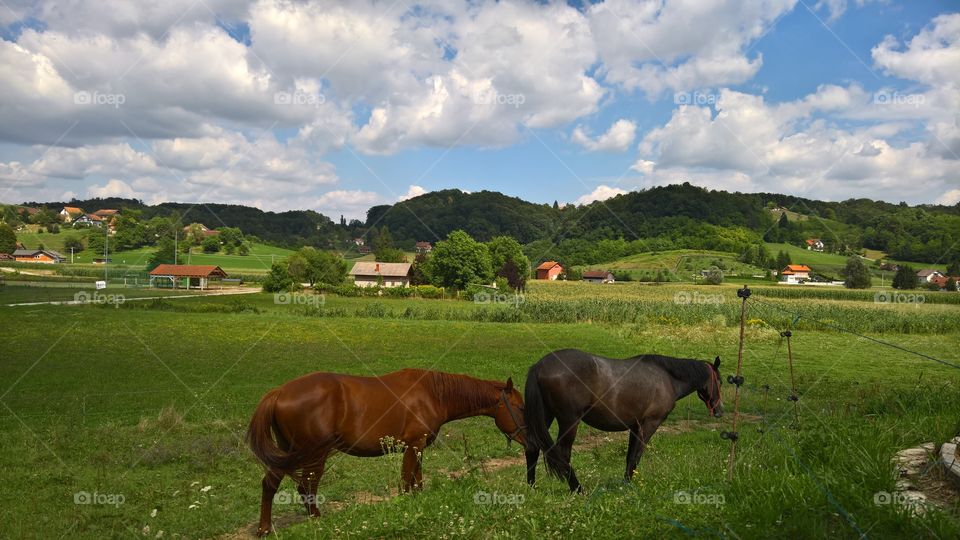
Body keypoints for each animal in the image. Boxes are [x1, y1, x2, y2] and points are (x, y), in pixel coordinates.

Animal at [242, 370, 524, 532]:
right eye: (521, 407)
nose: (530, 438)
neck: (434, 393)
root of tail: (279, 392)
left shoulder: (417, 448)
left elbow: (417, 482)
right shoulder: (412, 446)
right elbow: (406, 483)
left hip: (287, 453)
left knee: (270, 484)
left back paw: (265, 529)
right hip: (313, 455)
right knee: (305, 487)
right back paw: (317, 520)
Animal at [524, 350, 720, 494]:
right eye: (720, 381)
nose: (720, 411)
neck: (667, 378)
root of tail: (540, 366)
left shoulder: (635, 426)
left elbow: (630, 456)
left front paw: (626, 483)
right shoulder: (649, 424)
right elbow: (636, 455)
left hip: (545, 417)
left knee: (532, 447)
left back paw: (532, 488)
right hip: (569, 421)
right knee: (563, 453)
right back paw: (577, 489)